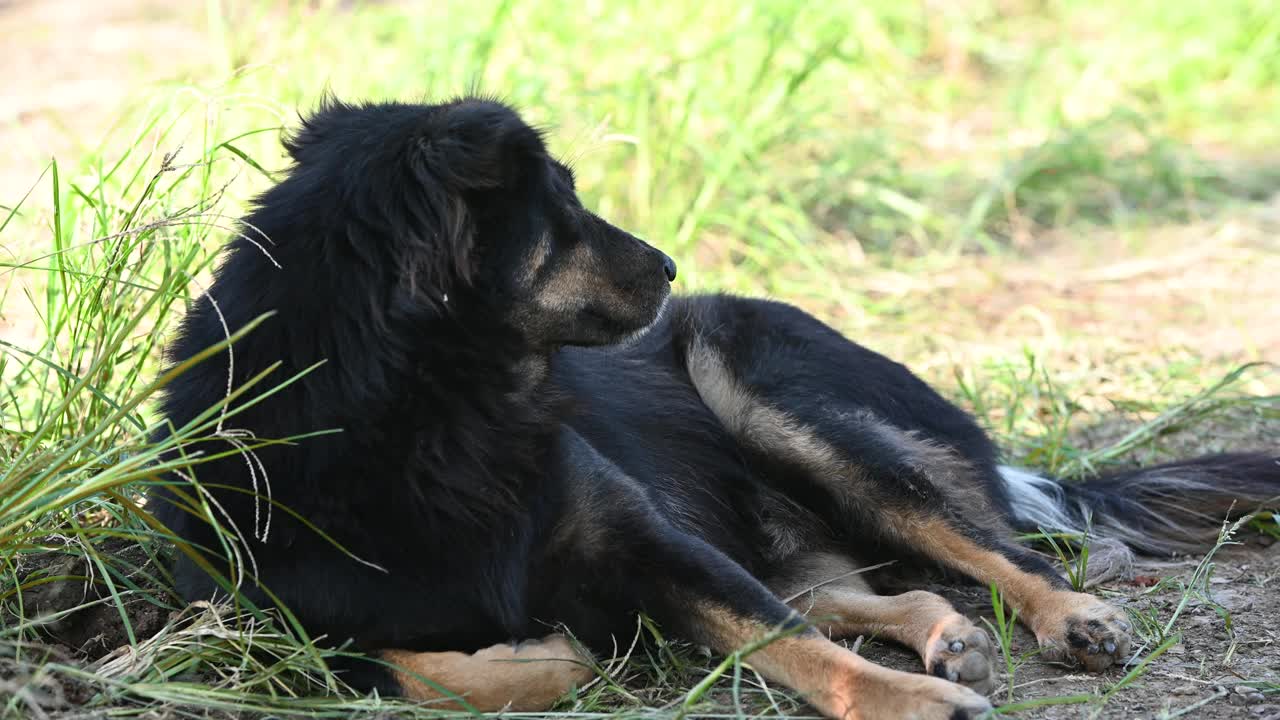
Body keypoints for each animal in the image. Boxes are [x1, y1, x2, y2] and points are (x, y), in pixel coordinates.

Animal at [152, 96, 1280, 717]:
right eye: (562, 207)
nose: (668, 265)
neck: (437, 415)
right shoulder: (279, 629)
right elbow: (438, 672)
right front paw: (544, 651)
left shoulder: (650, 542)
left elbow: (795, 647)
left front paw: (919, 704)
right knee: (880, 593)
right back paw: (948, 638)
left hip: (770, 393)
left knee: (987, 546)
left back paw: (1070, 619)